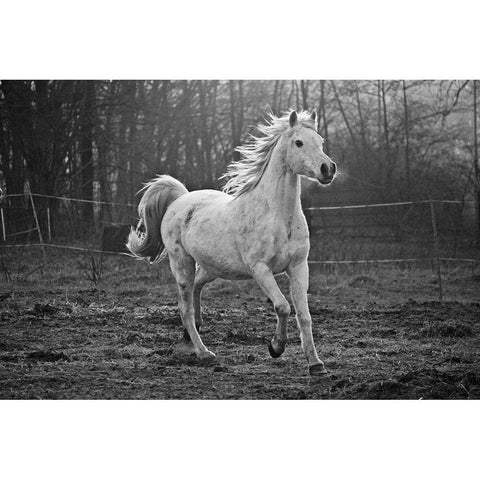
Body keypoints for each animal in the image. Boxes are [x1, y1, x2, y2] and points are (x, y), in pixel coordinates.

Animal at [127, 109, 338, 376]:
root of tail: (180, 199)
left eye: (320, 141)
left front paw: (316, 364)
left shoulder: (299, 266)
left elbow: (305, 315)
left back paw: (192, 332)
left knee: (196, 288)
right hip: (182, 263)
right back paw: (203, 352)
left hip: (212, 267)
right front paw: (275, 347)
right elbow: (282, 306)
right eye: (298, 142)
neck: (278, 216)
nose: (327, 169)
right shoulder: (260, 269)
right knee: (185, 307)